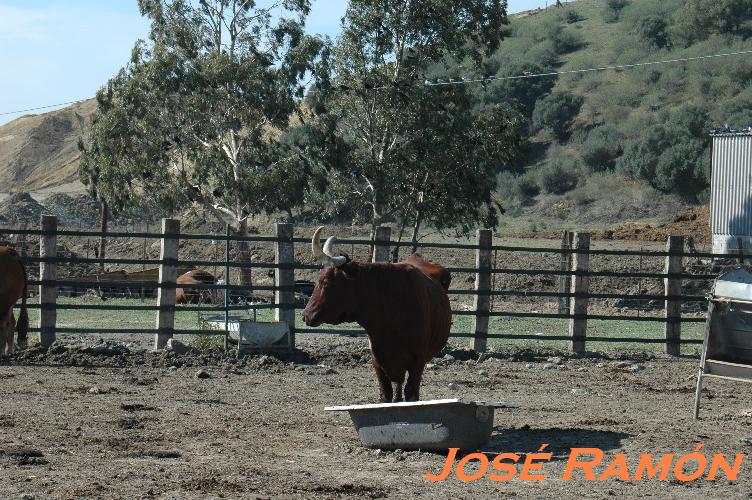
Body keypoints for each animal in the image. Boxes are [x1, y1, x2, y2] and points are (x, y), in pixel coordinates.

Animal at [302, 227, 452, 402]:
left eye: (325, 282)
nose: (306, 315)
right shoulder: (378, 362)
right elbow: (386, 394)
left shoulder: (418, 362)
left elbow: (411, 394)